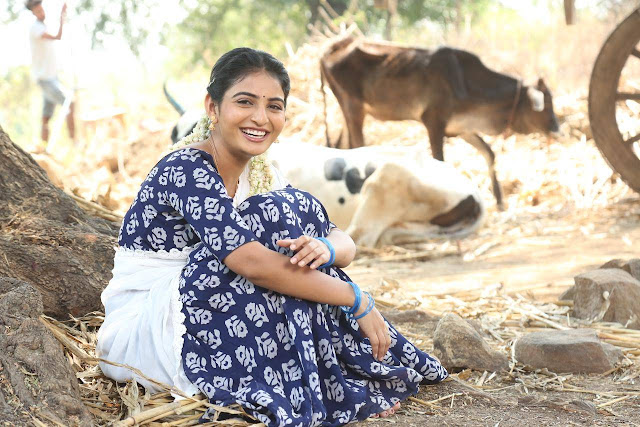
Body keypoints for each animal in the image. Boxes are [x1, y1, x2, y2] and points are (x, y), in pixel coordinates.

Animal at [320, 37, 560, 208]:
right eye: (546, 105)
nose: (556, 128)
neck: (466, 82)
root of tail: (333, 47)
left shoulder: (461, 128)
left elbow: (489, 154)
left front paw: (500, 201)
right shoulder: (433, 122)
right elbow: (441, 161)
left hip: (347, 113)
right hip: (353, 108)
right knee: (355, 148)